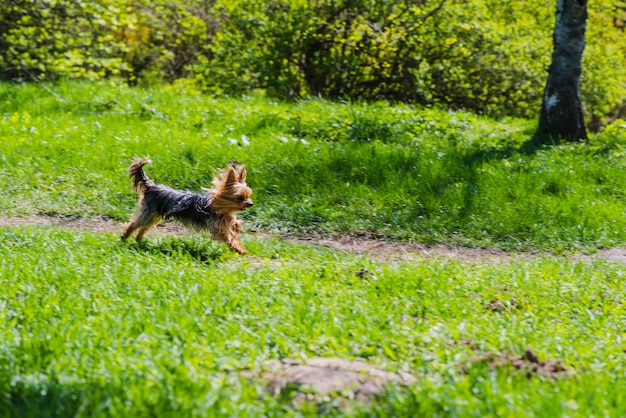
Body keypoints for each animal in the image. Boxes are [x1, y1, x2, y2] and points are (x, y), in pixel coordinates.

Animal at [121, 158, 251, 253]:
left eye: (249, 196)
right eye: (240, 198)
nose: (251, 203)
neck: (219, 207)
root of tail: (151, 186)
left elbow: (234, 225)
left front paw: (236, 226)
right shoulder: (217, 228)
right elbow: (228, 238)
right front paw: (239, 250)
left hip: (154, 216)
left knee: (143, 228)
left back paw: (138, 239)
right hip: (149, 213)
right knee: (134, 224)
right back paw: (124, 237)